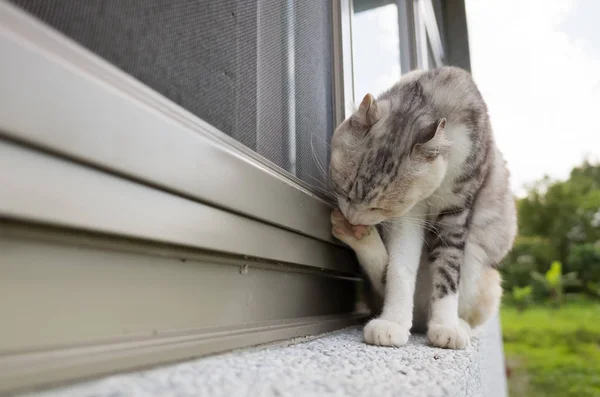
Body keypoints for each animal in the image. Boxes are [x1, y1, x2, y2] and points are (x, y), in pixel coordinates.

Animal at [328, 66, 516, 348]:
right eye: (344, 190)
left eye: (379, 208)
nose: (353, 218)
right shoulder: (409, 215)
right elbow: (399, 268)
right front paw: (393, 323)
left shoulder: (456, 211)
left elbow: (448, 274)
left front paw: (446, 327)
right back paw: (358, 237)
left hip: (486, 275)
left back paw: (460, 326)